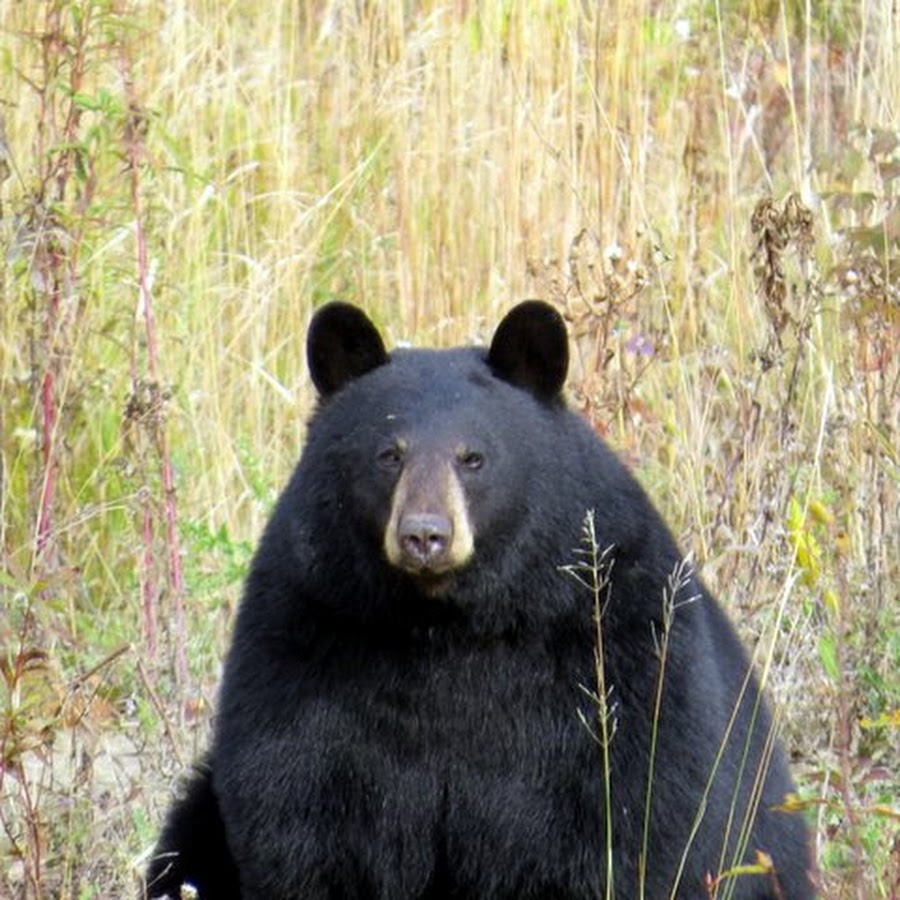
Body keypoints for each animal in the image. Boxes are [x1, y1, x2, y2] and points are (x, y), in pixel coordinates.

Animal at [148, 298, 816, 896]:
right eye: (388, 454)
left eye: (473, 457)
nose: (424, 535)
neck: (448, 628)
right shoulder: (308, 636)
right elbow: (298, 814)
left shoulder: (617, 650)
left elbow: (638, 818)